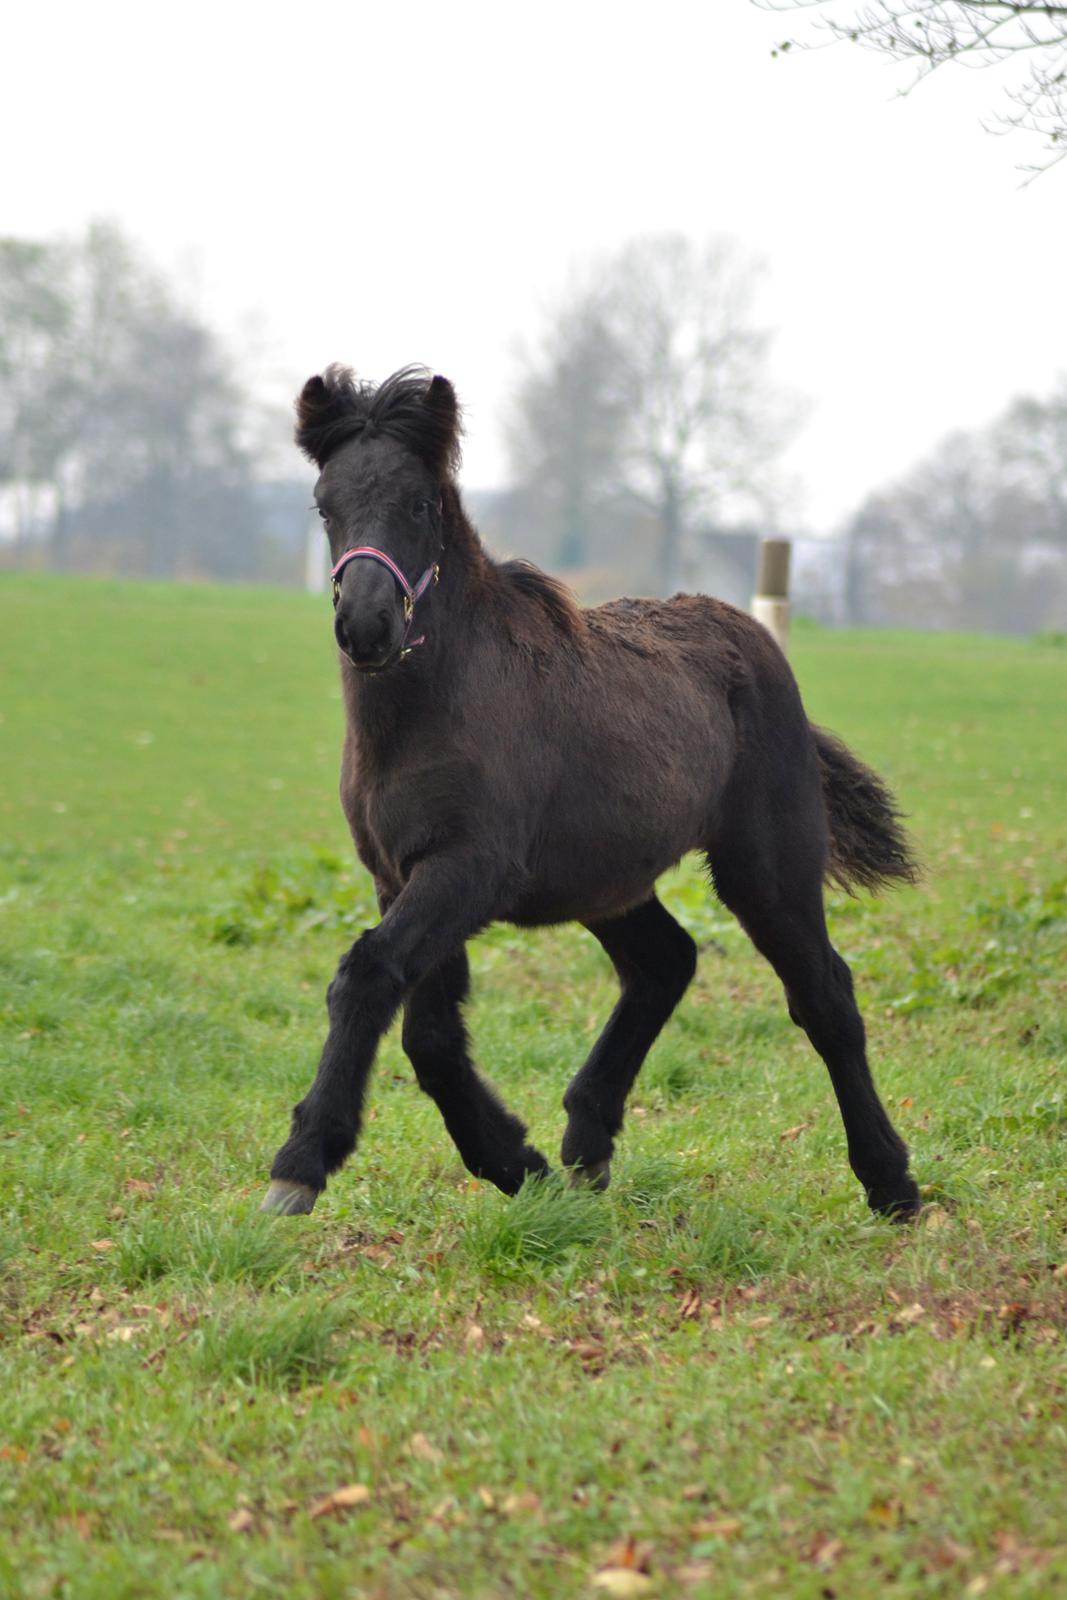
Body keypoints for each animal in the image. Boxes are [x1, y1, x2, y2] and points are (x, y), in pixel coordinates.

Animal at [262, 374, 921, 1216]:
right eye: (324, 505)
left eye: (420, 503)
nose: (366, 626)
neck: (436, 705)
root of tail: (753, 636)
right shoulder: (398, 875)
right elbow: (430, 1036)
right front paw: (517, 1161)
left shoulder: (467, 868)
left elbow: (370, 976)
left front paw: (302, 1160)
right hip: (605, 880)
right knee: (665, 963)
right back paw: (584, 1141)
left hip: (765, 866)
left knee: (824, 995)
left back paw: (890, 1180)